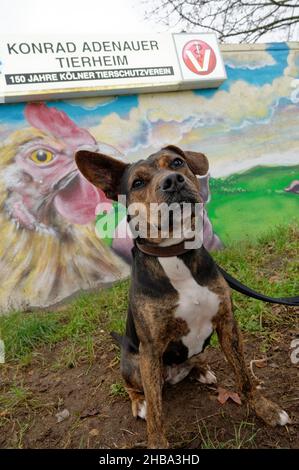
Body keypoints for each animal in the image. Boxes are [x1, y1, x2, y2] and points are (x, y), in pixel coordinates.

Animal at [76, 146, 292, 448]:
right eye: (138, 182)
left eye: (177, 162)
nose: (172, 181)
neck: (175, 253)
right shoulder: (151, 349)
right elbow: (157, 414)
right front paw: (157, 443)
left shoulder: (227, 324)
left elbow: (245, 377)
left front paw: (266, 410)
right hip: (134, 363)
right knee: (134, 388)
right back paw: (139, 403)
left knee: (194, 361)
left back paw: (201, 370)